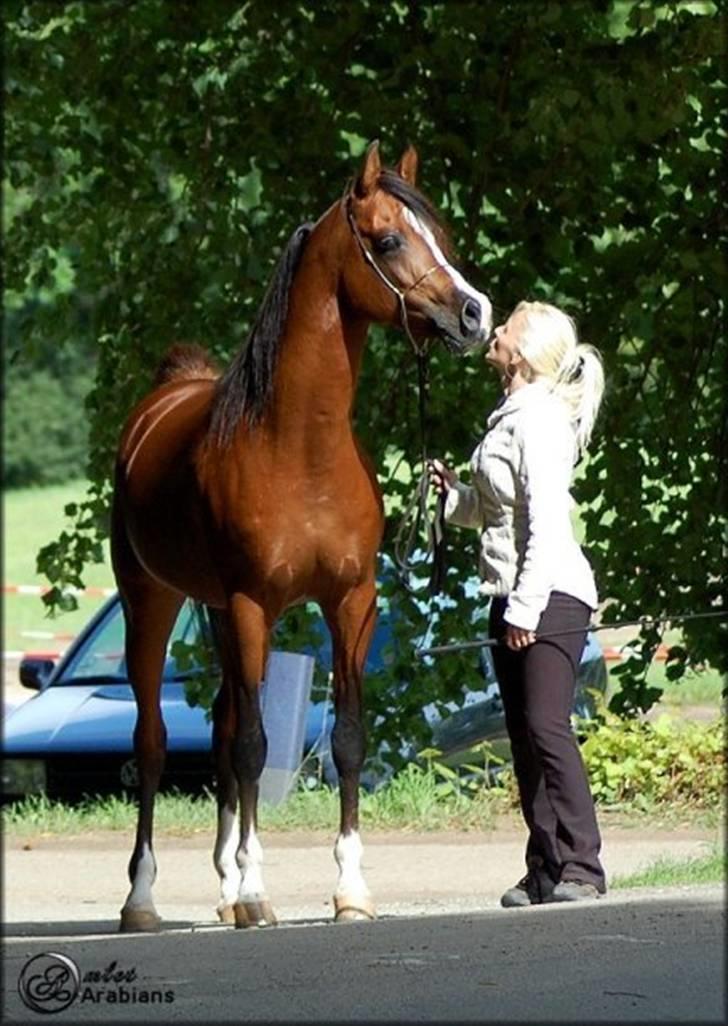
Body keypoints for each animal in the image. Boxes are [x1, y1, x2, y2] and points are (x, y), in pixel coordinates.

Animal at [111, 140, 494, 935]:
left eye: (441, 233)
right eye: (388, 239)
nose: (475, 314)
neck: (299, 449)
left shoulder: (351, 602)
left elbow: (343, 740)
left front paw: (349, 889)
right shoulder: (254, 604)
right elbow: (256, 748)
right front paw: (259, 893)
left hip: (216, 613)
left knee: (221, 730)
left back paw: (224, 890)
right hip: (153, 605)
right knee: (156, 743)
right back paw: (144, 899)